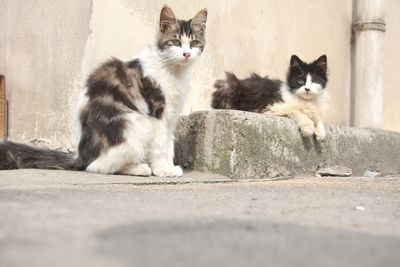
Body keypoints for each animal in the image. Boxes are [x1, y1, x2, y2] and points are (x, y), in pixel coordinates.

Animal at [0, 5, 208, 177]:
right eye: (175, 42)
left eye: (194, 43)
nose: (186, 54)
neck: (174, 71)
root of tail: (79, 156)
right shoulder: (158, 114)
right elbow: (159, 145)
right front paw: (163, 170)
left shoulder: (171, 116)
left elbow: (169, 145)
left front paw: (169, 166)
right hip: (132, 122)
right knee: (98, 167)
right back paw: (139, 168)